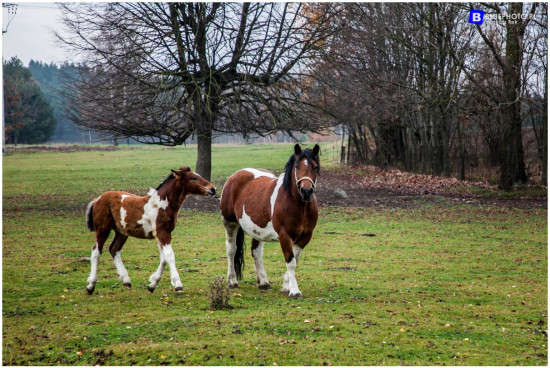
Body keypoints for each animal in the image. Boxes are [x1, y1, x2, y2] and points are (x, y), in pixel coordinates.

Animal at [85, 167, 217, 294]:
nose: (213, 189)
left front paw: (152, 284)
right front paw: (178, 285)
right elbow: (169, 255)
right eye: (194, 178)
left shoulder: (163, 234)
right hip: (102, 229)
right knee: (96, 251)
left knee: (114, 249)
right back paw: (91, 286)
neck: (160, 205)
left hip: (121, 232)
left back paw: (126, 281)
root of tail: (98, 199)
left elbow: (163, 258)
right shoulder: (162, 232)